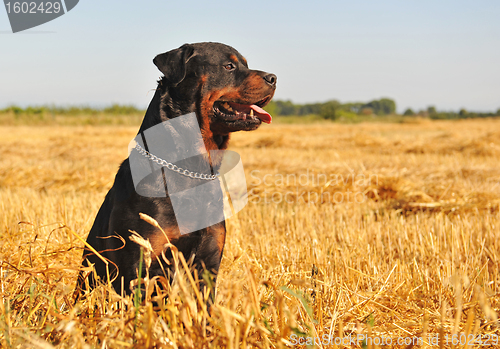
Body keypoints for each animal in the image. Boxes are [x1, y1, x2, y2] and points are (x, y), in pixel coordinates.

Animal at [74, 42, 278, 304]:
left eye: (245, 64)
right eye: (229, 66)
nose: (273, 78)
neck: (193, 169)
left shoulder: (208, 260)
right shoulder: (143, 260)